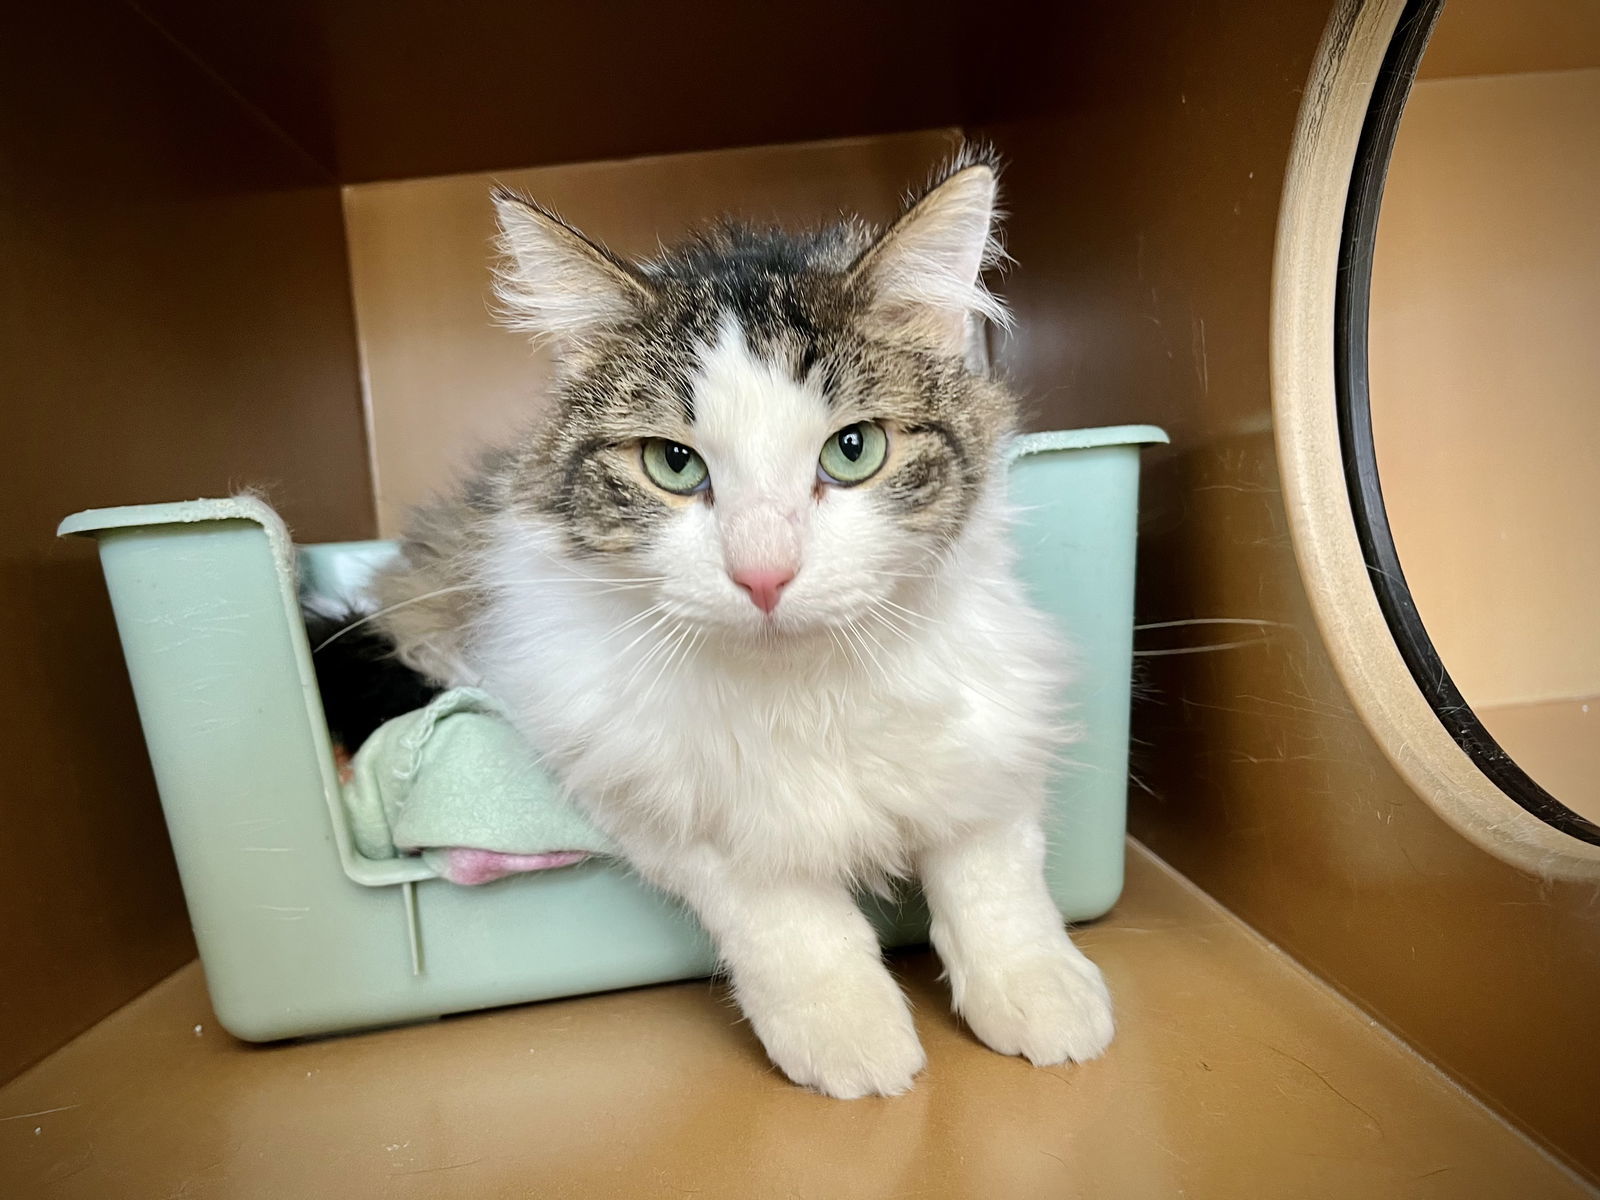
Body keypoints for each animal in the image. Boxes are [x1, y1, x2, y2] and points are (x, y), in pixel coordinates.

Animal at [368, 150, 1113, 1100]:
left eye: (854, 450)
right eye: (673, 464)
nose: (764, 574)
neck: (805, 688)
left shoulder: (992, 718)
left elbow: (993, 870)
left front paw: (1038, 989)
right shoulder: (660, 788)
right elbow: (788, 914)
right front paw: (851, 1032)